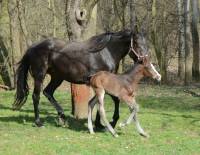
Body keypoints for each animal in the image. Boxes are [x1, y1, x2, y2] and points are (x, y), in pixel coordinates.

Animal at [12, 29, 147, 127]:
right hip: (40, 76)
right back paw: (38, 122)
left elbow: (101, 101)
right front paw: (112, 122)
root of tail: (32, 47)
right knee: (36, 96)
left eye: (145, 43)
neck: (106, 53)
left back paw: (62, 117)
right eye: (136, 43)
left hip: (57, 77)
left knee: (48, 92)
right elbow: (113, 99)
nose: (144, 60)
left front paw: (99, 124)